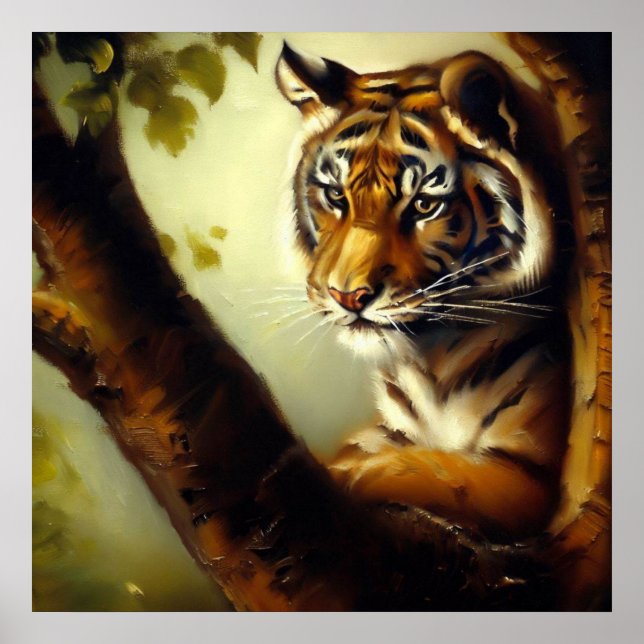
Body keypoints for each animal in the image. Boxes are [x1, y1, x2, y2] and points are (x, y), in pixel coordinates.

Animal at [275, 43, 574, 541]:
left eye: (423, 205)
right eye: (336, 196)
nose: (347, 296)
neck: (428, 362)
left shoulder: (528, 474)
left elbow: (429, 471)